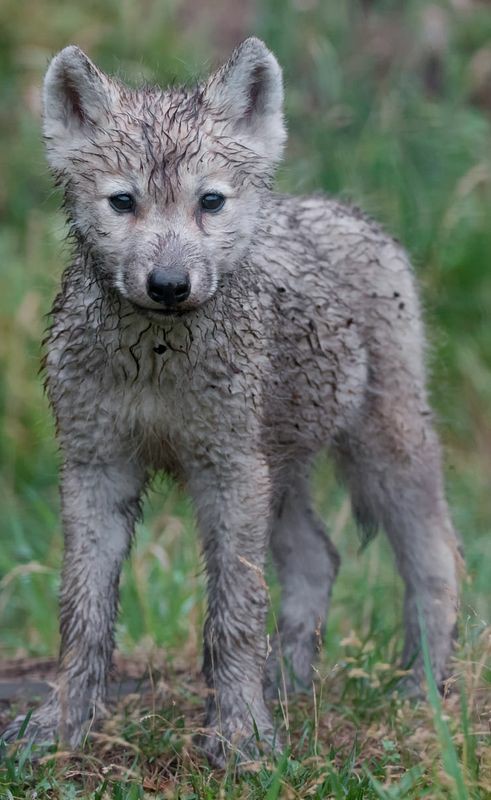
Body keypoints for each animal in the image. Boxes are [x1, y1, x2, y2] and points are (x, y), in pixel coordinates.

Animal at [2, 38, 461, 766]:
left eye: (209, 201)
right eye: (124, 202)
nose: (168, 284)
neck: (156, 357)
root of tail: (339, 209)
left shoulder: (226, 473)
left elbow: (234, 616)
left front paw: (241, 735)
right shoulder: (97, 469)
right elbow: (82, 617)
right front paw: (61, 726)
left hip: (378, 456)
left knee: (436, 558)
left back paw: (421, 694)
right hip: (279, 475)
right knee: (318, 559)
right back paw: (289, 689)